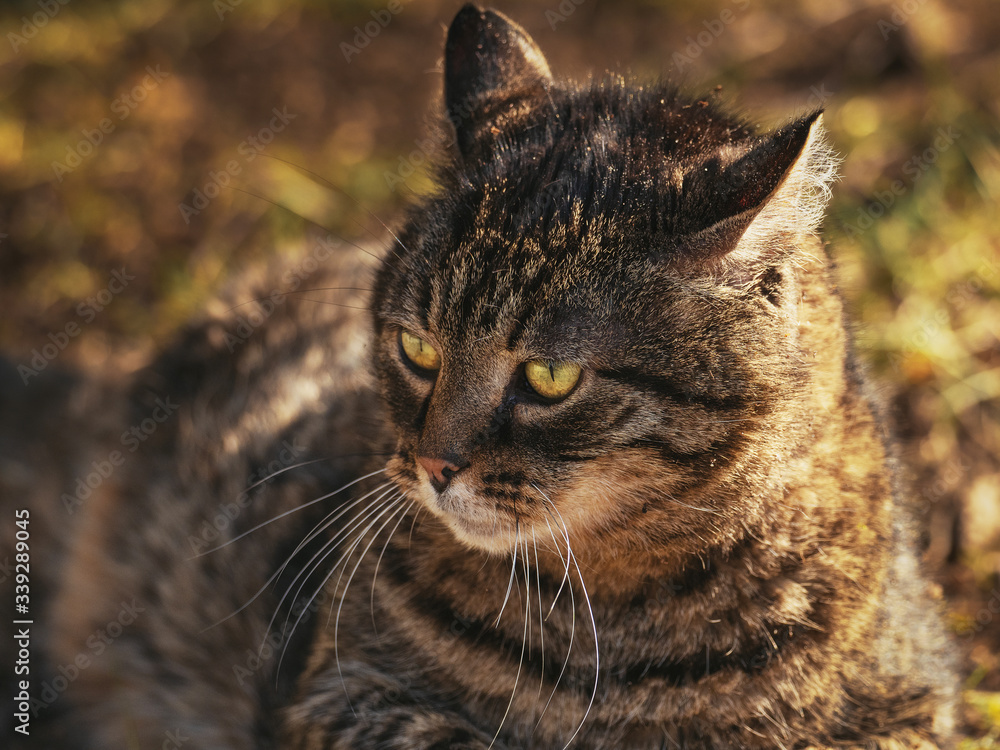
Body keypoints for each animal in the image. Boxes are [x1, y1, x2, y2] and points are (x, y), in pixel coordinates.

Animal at [9, 5, 960, 750]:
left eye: (549, 377)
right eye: (418, 350)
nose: (435, 467)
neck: (622, 617)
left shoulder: (912, 708)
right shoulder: (343, 694)